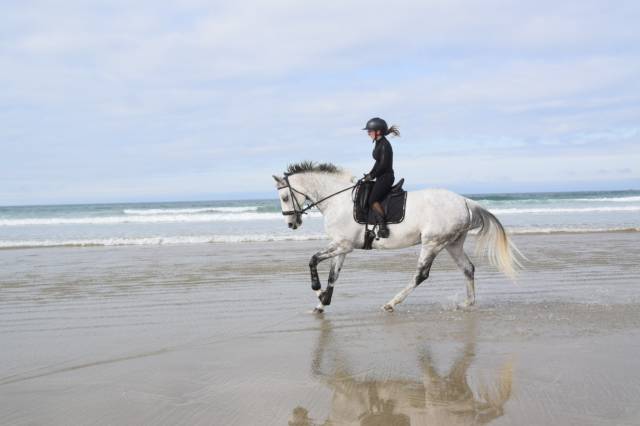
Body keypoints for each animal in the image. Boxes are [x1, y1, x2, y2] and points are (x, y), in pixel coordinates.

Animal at [273, 161, 524, 313]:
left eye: (284, 197)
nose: (291, 224)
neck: (337, 200)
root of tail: (465, 201)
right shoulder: (341, 247)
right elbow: (334, 275)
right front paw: (322, 304)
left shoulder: (343, 245)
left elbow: (313, 260)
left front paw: (317, 291)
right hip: (452, 243)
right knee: (467, 268)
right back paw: (468, 303)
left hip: (432, 243)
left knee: (421, 275)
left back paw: (391, 303)